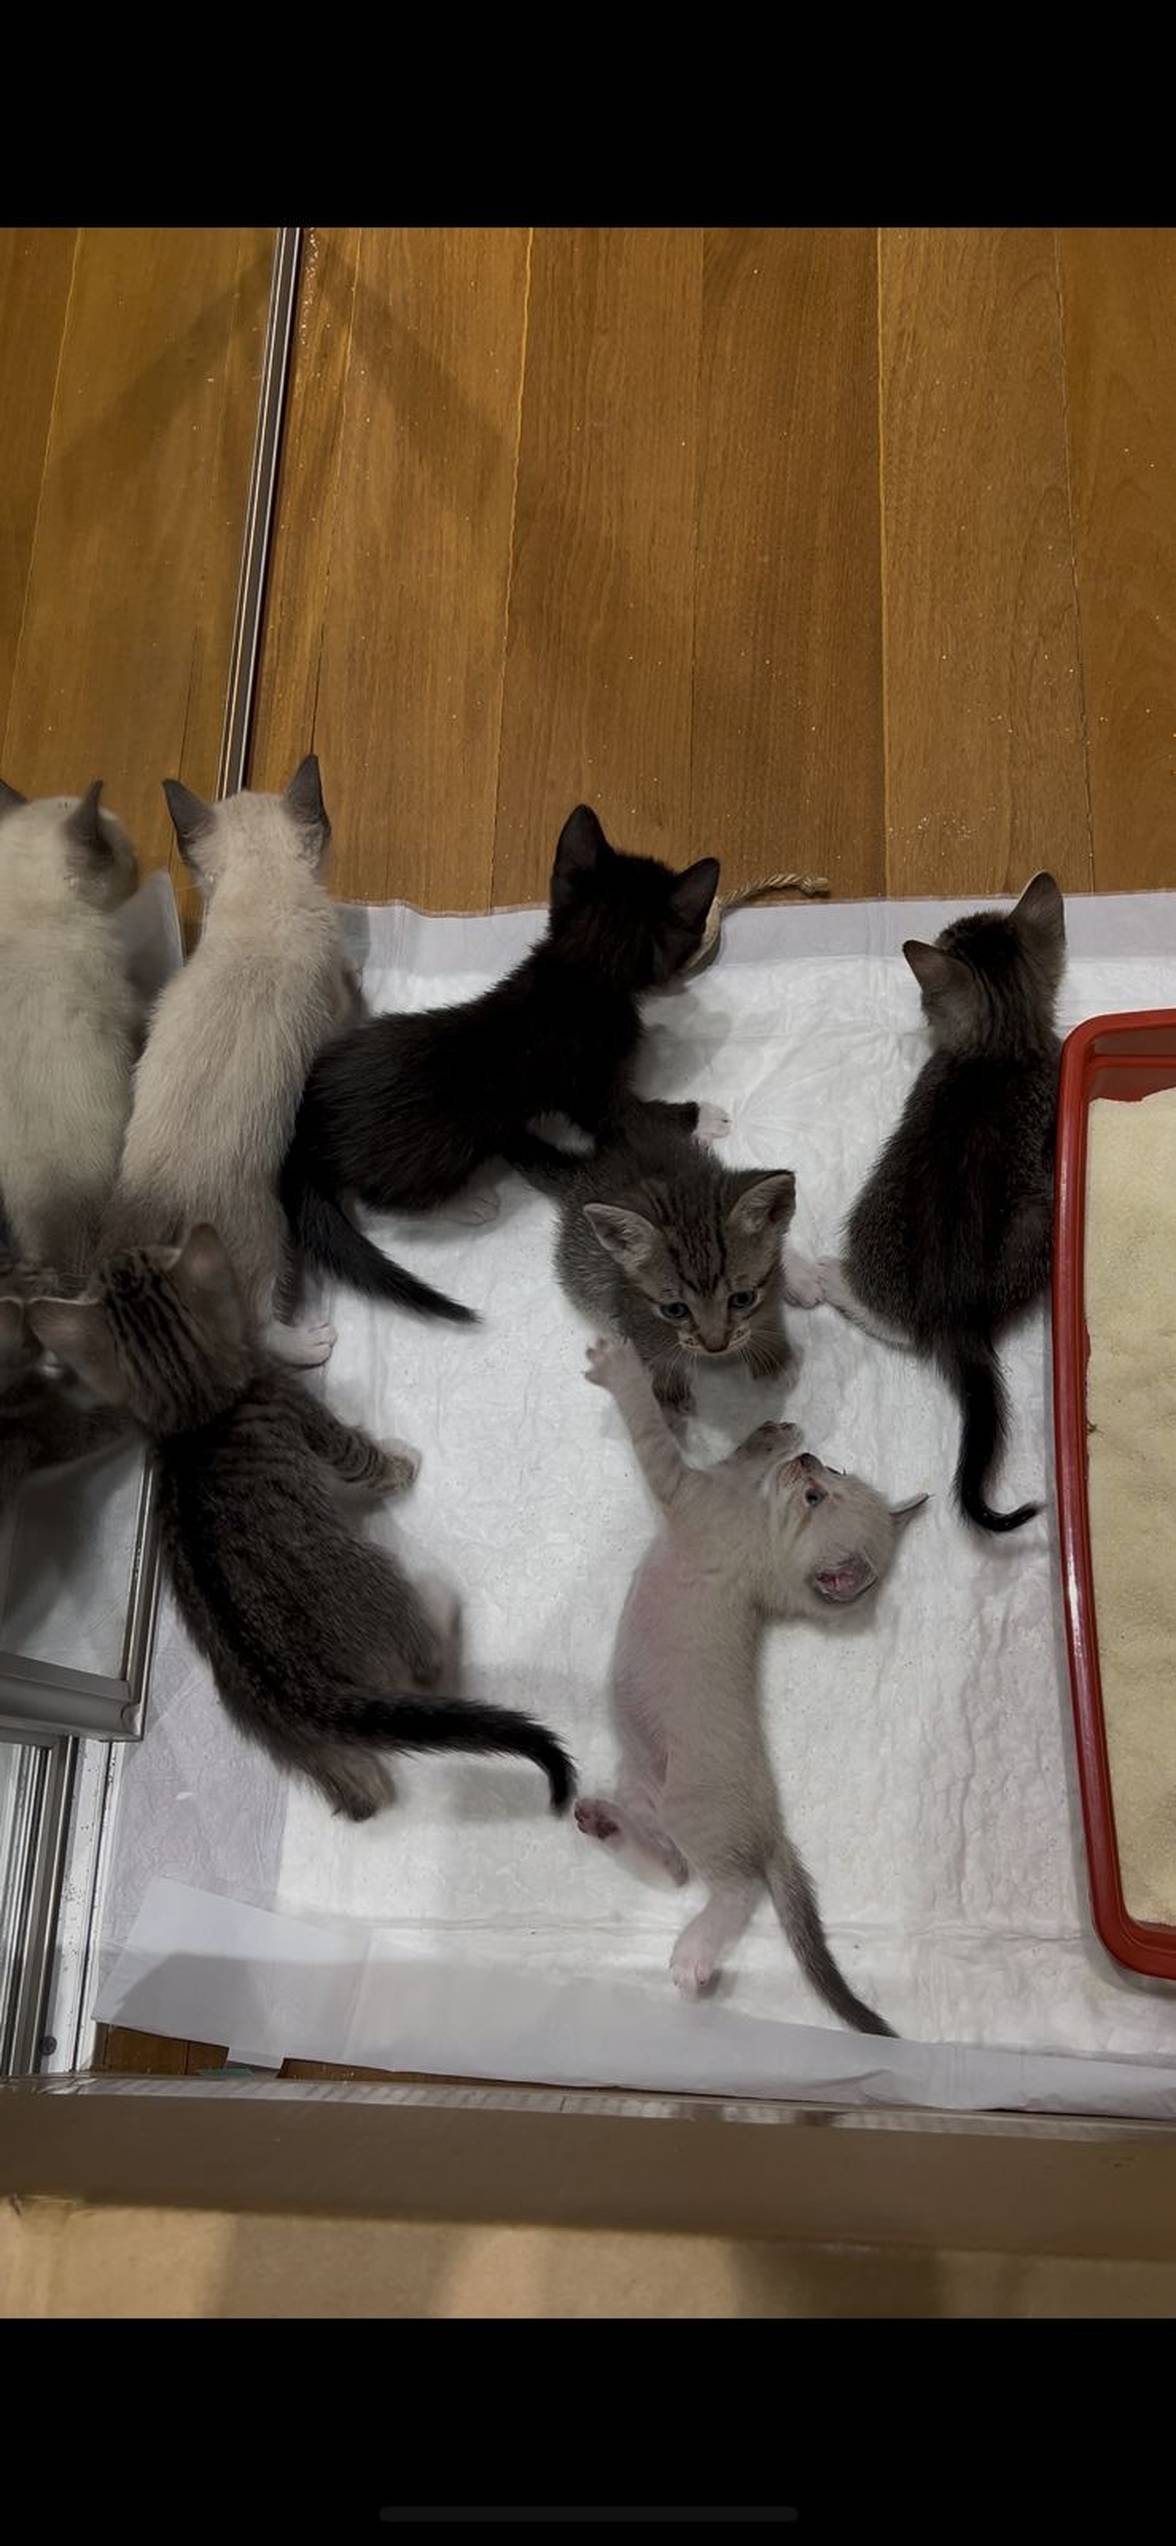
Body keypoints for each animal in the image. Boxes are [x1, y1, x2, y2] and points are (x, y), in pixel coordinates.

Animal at [28, 1226, 575, 1818]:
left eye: (134, 1258)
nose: (123, 1250)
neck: (195, 1421)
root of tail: (304, 1696)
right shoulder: (312, 1423)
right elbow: (365, 1460)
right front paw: (401, 1462)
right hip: (378, 1583)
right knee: (430, 1665)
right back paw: (439, 1604)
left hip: (280, 1732)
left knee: (360, 1798)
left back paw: (362, 1780)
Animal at [100, 758, 358, 1369]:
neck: (258, 899)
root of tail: (149, 1198)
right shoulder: (332, 1003)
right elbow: (349, 1002)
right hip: (263, 1229)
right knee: (258, 1327)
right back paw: (312, 1341)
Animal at [279, 804, 720, 1322]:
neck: (583, 970)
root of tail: (306, 1132)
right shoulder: (594, 1087)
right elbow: (631, 1117)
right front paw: (708, 1117)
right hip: (434, 1153)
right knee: (380, 1203)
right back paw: (467, 1204)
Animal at [517, 1095, 818, 1414]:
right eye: (675, 1310)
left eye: (741, 1298)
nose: (716, 1347)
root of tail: (587, 1169)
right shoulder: (632, 1312)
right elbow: (654, 1355)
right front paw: (667, 1396)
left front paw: (774, 1360)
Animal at [576, 1334, 925, 2027]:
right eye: (833, 1474)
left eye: (818, 1495)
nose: (811, 1460)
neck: (762, 1542)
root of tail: (774, 1827)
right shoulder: (719, 1485)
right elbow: (737, 1460)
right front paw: (773, 1435)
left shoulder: (681, 1486)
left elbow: (652, 1431)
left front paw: (621, 1369)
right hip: (646, 1786)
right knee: (674, 1871)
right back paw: (604, 1825)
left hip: (694, 1810)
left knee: (731, 1891)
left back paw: (694, 1957)